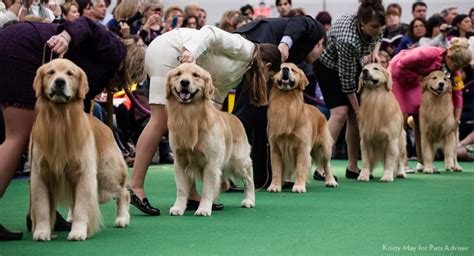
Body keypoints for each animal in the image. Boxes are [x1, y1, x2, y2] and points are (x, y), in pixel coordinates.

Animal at [29, 59, 130, 241]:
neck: (60, 119)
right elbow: (41, 208)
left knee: (123, 192)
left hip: (107, 175)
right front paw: (41, 232)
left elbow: (82, 208)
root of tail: (106, 127)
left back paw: (122, 218)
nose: (59, 82)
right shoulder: (40, 174)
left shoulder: (84, 173)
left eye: (70, 73)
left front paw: (78, 232)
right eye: (51, 72)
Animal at [167, 63, 256, 216]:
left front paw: (203, 208)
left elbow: (207, 190)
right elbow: (182, 189)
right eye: (178, 74)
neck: (189, 116)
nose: (184, 82)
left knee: (249, 179)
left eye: (195, 75)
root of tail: (235, 117)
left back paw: (249, 200)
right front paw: (178, 207)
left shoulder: (211, 163)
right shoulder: (180, 162)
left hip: (238, 162)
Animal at [266, 63, 336, 193]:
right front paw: (275, 186)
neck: (286, 102)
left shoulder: (303, 147)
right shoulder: (275, 148)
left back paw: (330, 181)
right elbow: (276, 171)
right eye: (280, 68)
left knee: (327, 164)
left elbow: (301, 169)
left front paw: (298, 186)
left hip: (325, 147)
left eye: (293, 69)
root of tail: (320, 112)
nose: (285, 69)